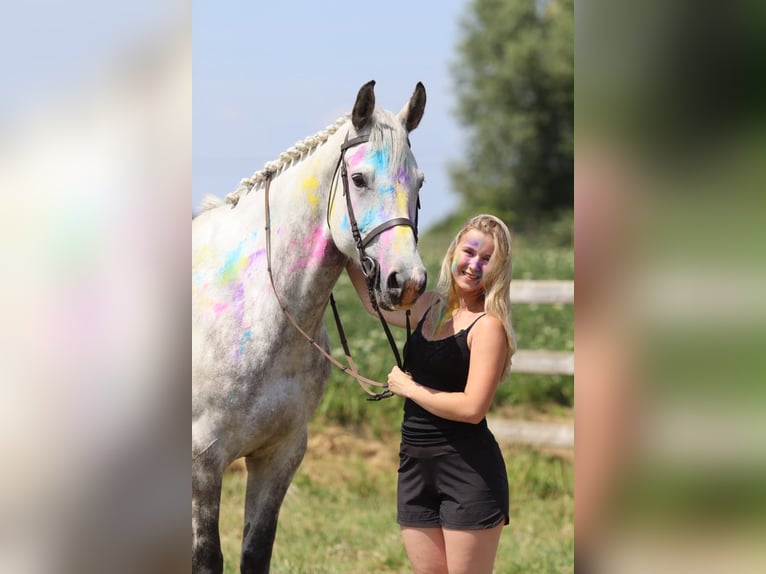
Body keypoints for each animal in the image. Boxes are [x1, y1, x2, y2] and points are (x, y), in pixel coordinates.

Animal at [192, 80, 427, 573]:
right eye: (358, 180)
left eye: (419, 182)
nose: (407, 282)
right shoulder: (203, 461)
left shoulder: (280, 456)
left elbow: (256, 552)